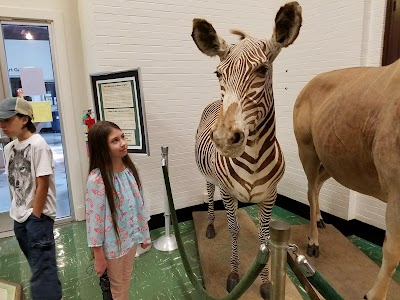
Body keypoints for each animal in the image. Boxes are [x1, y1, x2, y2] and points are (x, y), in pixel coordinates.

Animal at [192, 1, 302, 298]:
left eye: (263, 70)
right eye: (219, 74)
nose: (224, 139)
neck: (251, 159)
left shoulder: (270, 196)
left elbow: (265, 239)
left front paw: (265, 283)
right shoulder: (228, 193)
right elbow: (233, 229)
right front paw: (234, 275)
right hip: (209, 177)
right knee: (209, 194)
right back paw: (209, 225)